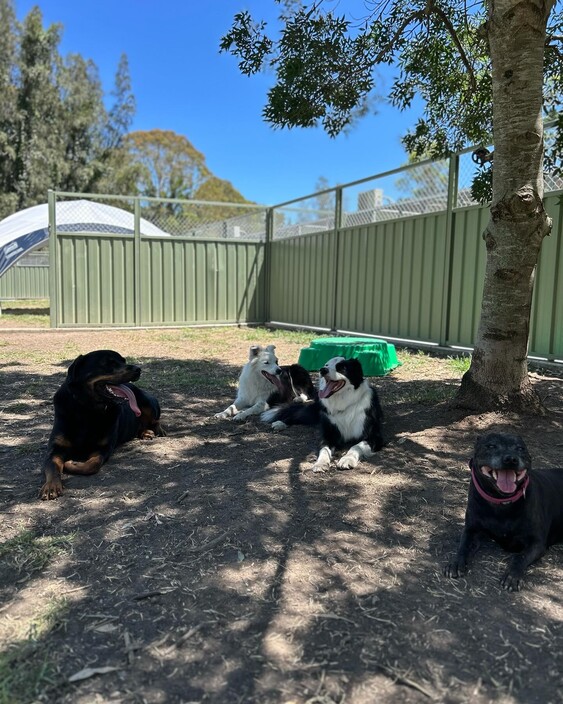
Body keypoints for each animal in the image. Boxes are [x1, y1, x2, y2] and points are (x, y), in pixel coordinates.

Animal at [38, 350, 163, 498]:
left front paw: (72, 464)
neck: (88, 409)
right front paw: (51, 485)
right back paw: (145, 432)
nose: (138, 369)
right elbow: (52, 467)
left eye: (124, 361)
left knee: (155, 420)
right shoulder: (55, 449)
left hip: (147, 402)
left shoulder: (104, 448)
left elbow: (92, 465)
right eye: (109, 363)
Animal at [446, 432, 563, 592]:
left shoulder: (537, 543)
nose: (511, 459)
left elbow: (519, 557)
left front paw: (512, 575)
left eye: (520, 448)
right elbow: (463, 545)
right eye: (491, 446)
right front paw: (457, 561)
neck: (501, 502)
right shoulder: (471, 530)